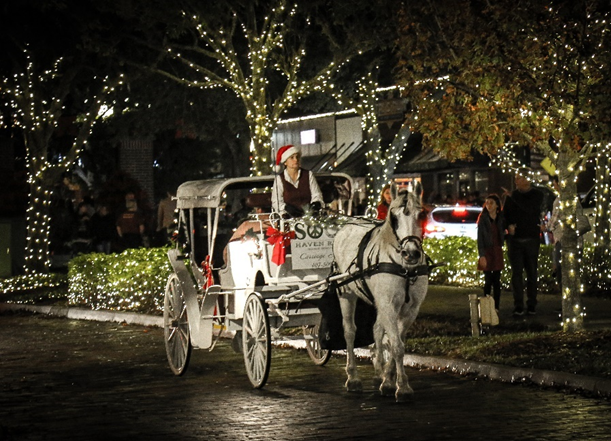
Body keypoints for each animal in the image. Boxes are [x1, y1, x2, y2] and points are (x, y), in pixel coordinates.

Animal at [332, 180, 428, 400]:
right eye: (394, 217)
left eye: (422, 214)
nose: (411, 253)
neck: (404, 268)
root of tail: (347, 224)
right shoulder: (388, 304)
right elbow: (396, 345)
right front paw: (402, 387)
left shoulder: (410, 309)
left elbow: (396, 342)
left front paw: (388, 380)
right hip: (346, 294)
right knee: (349, 332)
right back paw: (353, 377)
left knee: (376, 329)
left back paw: (378, 373)